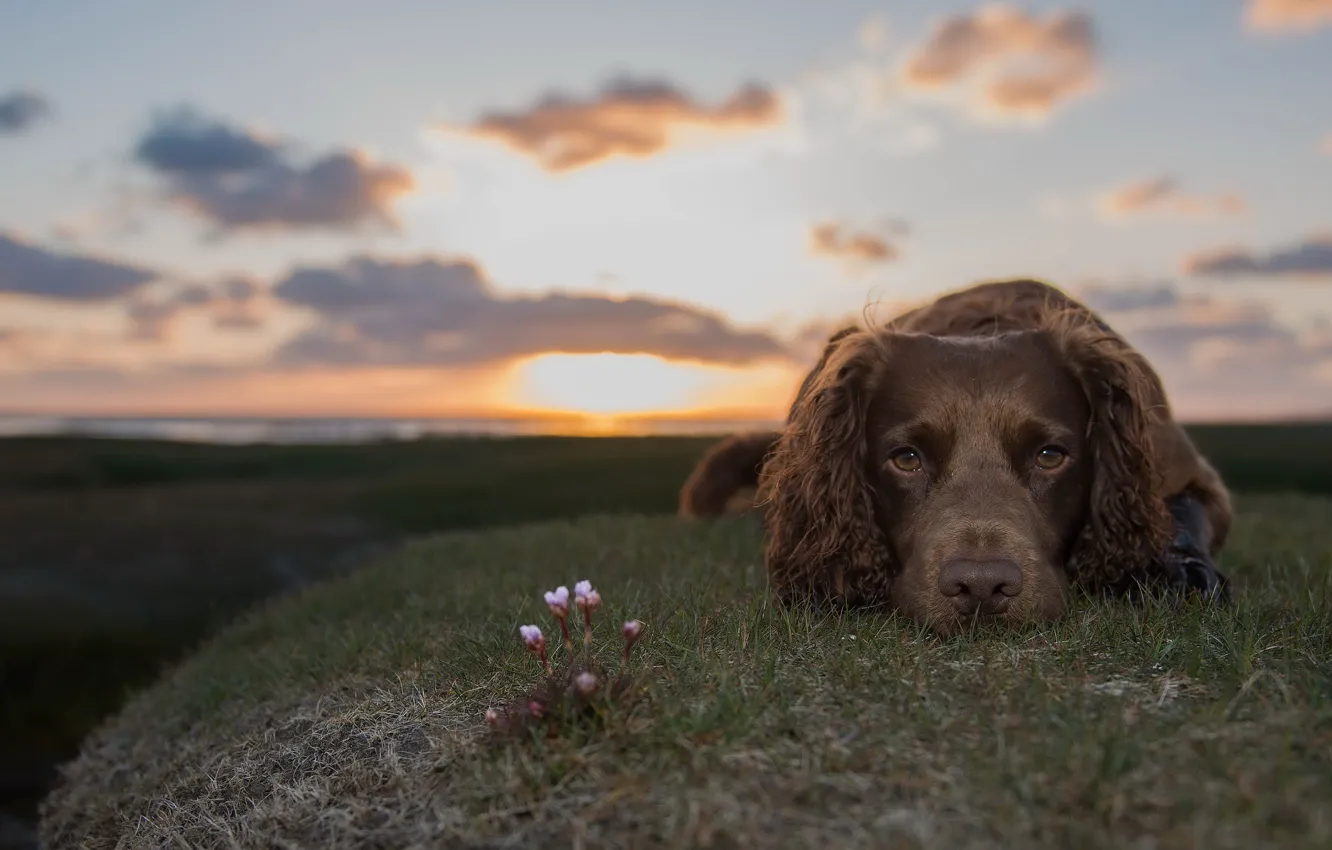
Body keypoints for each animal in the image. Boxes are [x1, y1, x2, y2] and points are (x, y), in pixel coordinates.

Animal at [681, 277, 1230, 636]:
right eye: (906, 459)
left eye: (1050, 456)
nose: (982, 588)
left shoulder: (1181, 468)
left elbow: (1182, 513)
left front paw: (1181, 569)